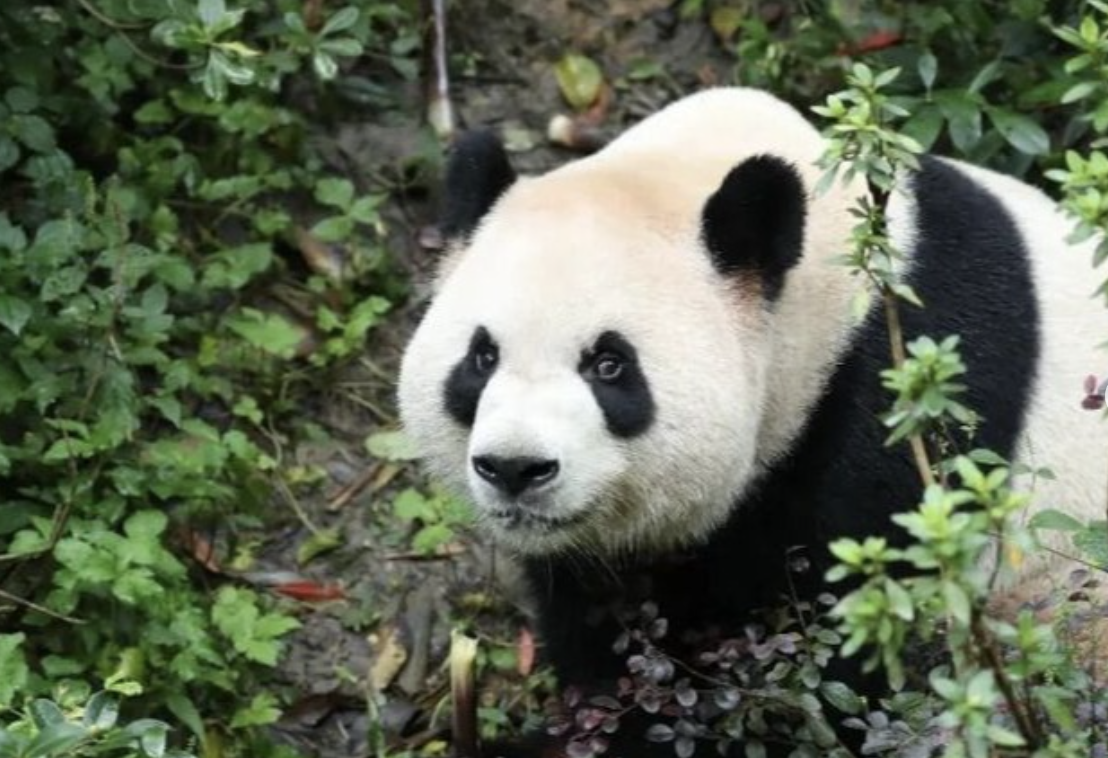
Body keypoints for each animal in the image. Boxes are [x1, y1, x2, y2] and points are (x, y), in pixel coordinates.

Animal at [397, 87, 1108, 755]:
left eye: (609, 365)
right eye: (482, 357)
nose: (515, 468)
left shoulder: (900, 411)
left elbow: (834, 658)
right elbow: (610, 625)